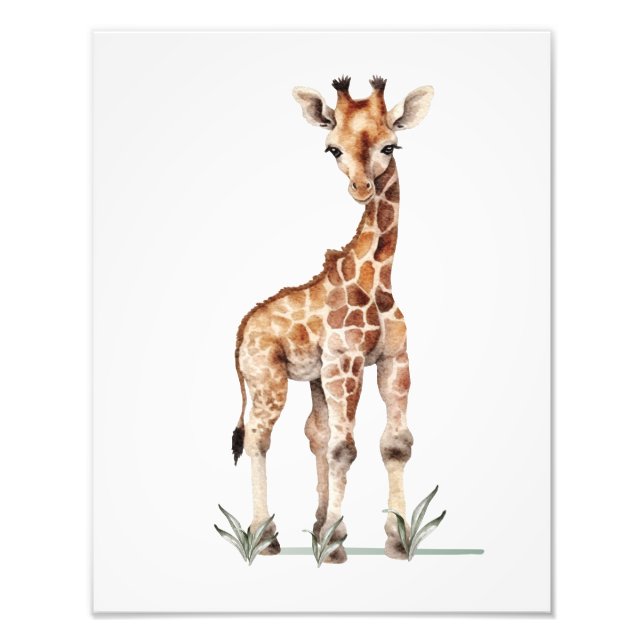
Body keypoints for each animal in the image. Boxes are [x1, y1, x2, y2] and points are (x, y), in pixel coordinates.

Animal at [231, 75, 434, 562]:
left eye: (390, 146)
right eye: (333, 149)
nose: (361, 187)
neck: (378, 279)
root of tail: (242, 330)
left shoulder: (394, 360)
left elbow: (395, 444)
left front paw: (397, 539)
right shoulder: (345, 363)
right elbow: (346, 448)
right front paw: (337, 542)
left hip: (313, 379)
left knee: (315, 436)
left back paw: (314, 525)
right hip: (267, 378)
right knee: (259, 437)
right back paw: (266, 536)